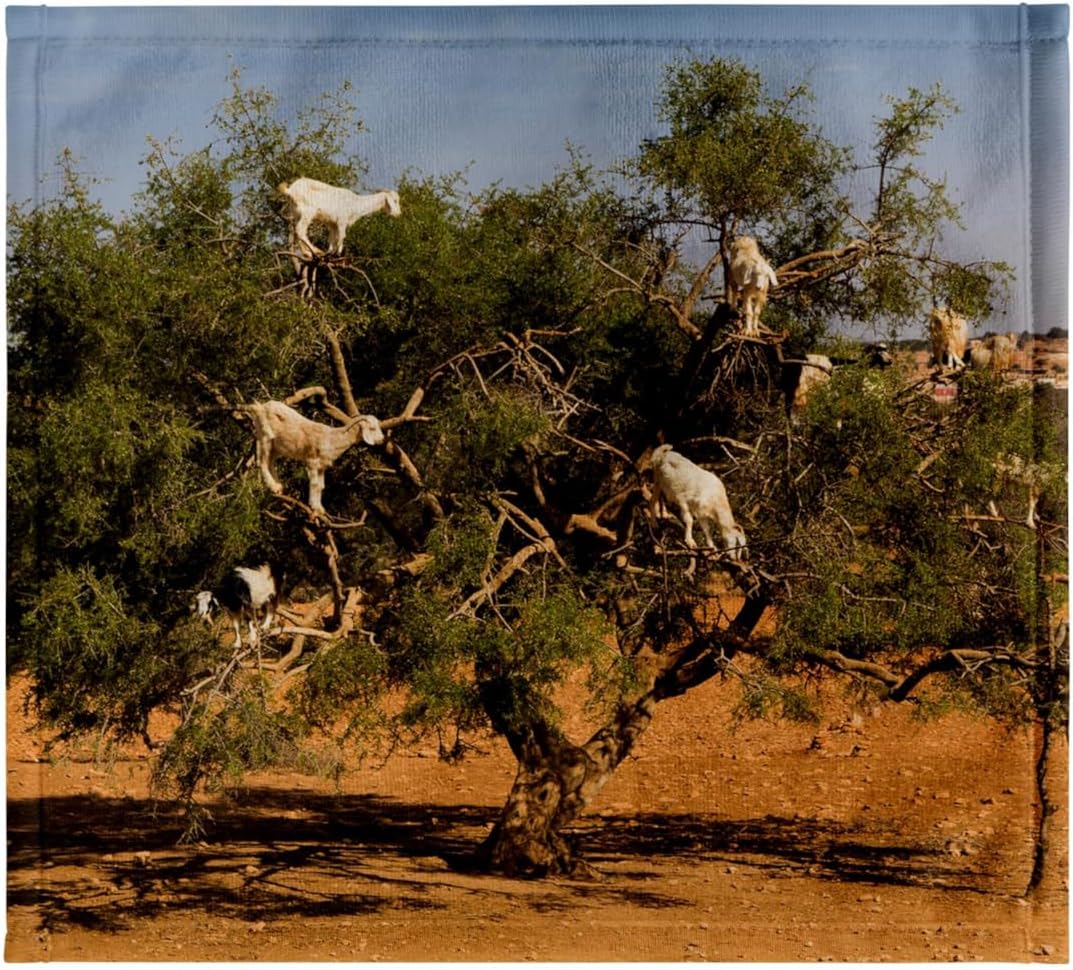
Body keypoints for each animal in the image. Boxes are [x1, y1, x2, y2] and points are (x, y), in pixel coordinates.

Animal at [241, 400, 385, 514]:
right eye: (372, 428)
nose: (382, 440)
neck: (332, 439)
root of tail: (260, 407)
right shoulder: (312, 461)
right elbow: (315, 484)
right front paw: (314, 507)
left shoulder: (321, 466)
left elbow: (321, 486)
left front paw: (320, 508)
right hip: (265, 437)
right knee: (263, 462)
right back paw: (274, 487)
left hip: (276, 447)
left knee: (270, 462)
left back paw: (279, 486)